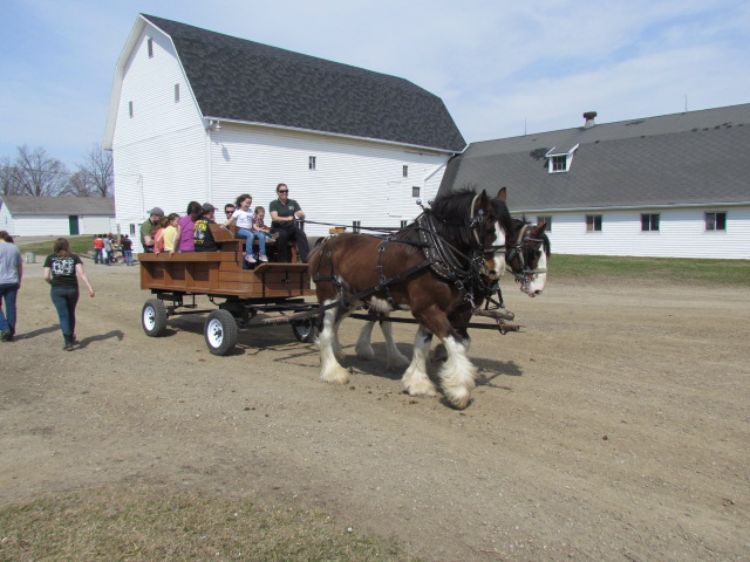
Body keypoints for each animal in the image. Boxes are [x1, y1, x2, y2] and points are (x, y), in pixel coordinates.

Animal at [310, 187, 536, 406]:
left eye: (508, 229)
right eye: (487, 227)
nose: (495, 270)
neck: (433, 252)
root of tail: (323, 244)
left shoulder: (443, 309)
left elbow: (425, 343)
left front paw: (417, 382)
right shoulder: (428, 308)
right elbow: (454, 342)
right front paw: (459, 390)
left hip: (351, 299)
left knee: (337, 324)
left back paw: (338, 354)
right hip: (329, 296)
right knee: (325, 329)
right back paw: (332, 371)